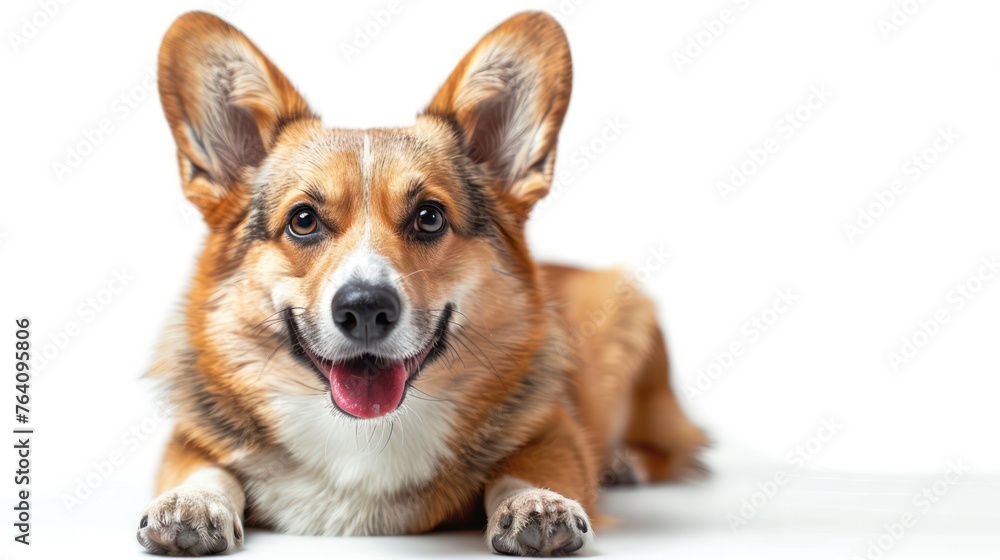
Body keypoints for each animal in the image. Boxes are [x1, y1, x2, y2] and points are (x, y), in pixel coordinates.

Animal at [139, 8, 704, 556]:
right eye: (303, 221)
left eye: (429, 217)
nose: (365, 309)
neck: (364, 435)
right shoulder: (188, 439)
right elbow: (202, 466)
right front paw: (191, 503)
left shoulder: (554, 429)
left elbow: (531, 464)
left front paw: (536, 502)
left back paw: (625, 462)